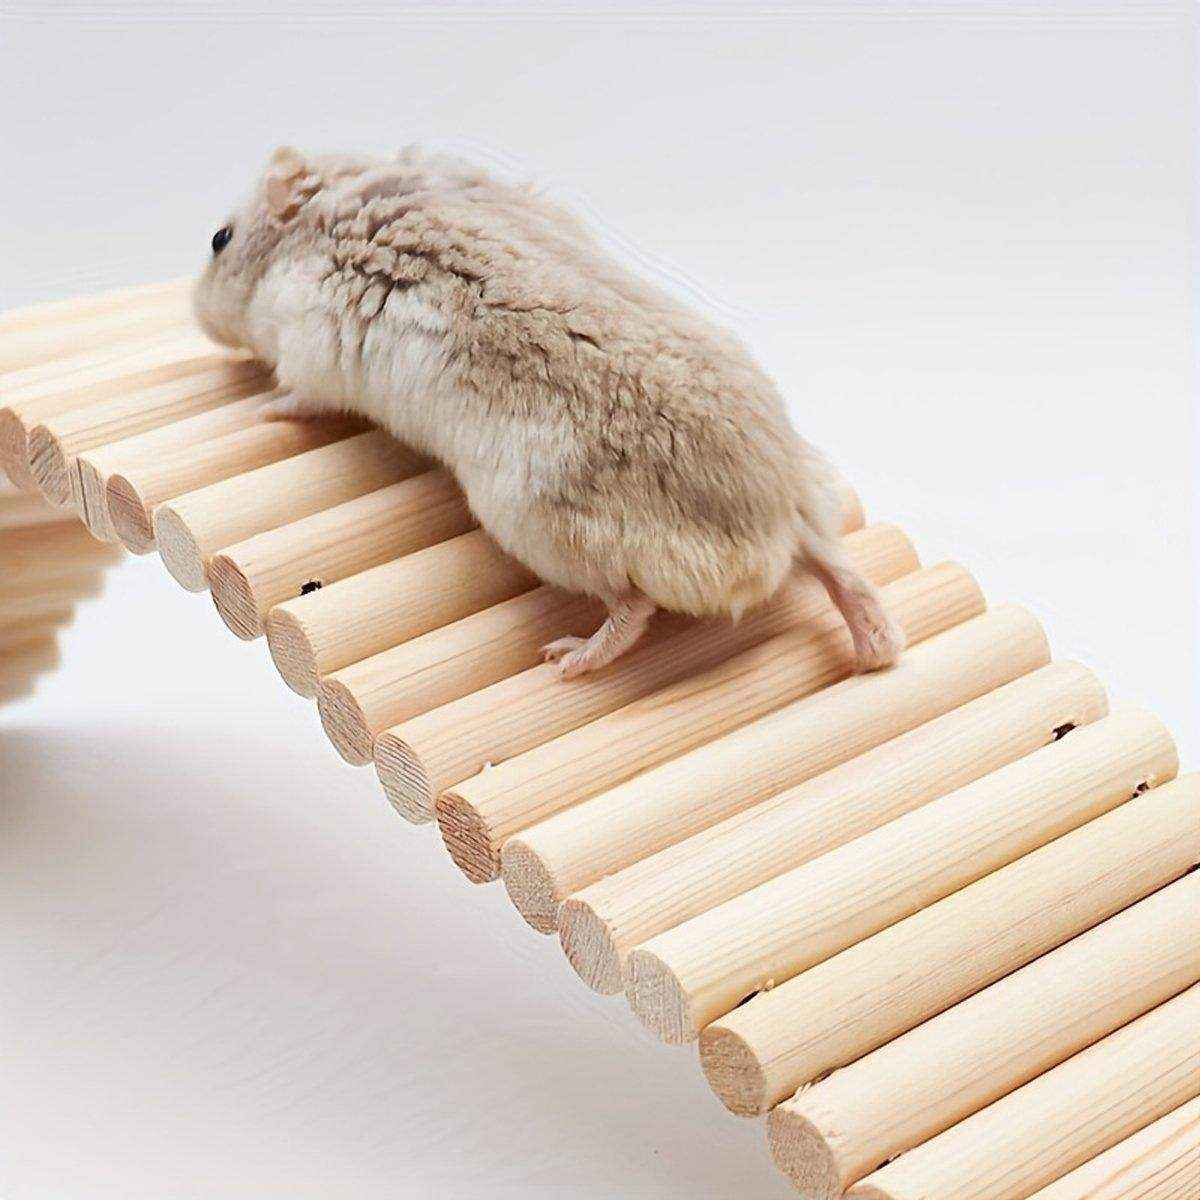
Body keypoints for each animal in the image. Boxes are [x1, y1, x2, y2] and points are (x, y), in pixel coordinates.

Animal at [193, 146, 904, 677]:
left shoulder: (311, 355)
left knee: (633, 609)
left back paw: (568, 658)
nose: (193, 314)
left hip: (541, 528)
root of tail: (782, 517)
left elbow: (298, 397)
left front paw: (260, 409)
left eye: (218, 238)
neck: (324, 216)